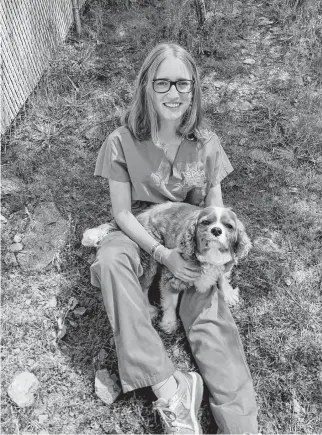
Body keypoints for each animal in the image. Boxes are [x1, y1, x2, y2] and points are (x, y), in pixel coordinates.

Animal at [81, 203, 252, 332]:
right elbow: (171, 302)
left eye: (229, 226)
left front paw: (228, 293)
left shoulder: (225, 263)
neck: (211, 257)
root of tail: (140, 215)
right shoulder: (171, 276)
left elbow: (223, 276)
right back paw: (149, 309)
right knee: (143, 286)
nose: (216, 230)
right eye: (205, 222)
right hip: (151, 260)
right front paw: (169, 322)